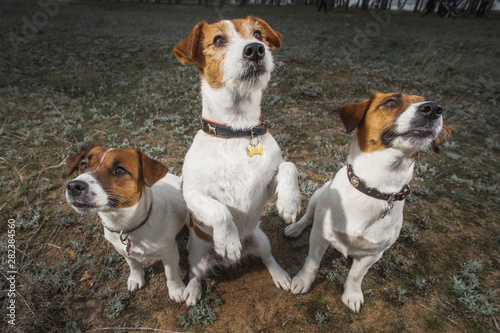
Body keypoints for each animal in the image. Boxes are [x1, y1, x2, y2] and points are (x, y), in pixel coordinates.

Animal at [66, 147, 189, 302]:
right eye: (83, 165)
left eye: (119, 170)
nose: (73, 186)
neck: (128, 226)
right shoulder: (123, 250)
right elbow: (133, 265)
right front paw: (136, 278)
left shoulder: (169, 252)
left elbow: (171, 273)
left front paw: (177, 289)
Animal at [174, 16, 300, 304]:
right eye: (218, 39)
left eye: (258, 34)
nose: (255, 49)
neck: (238, 130)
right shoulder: (192, 194)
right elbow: (219, 210)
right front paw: (229, 241)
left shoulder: (266, 186)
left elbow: (289, 166)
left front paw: (289, 202)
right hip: (196, 255)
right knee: (196, 273)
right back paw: (193, 290)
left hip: (261, 240)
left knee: (267, 258)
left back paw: (280, 275)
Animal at [284, 92, 452, 312]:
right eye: (391, 102)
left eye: (425, 101)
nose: (433, 109)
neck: (374, 188)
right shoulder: (320, 235)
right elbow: (312, 262)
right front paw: (303, 281)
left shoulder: (374, 253)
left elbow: (356, 276)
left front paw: (352, 295)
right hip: (317, 196)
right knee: (307, 217)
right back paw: (294, 228)